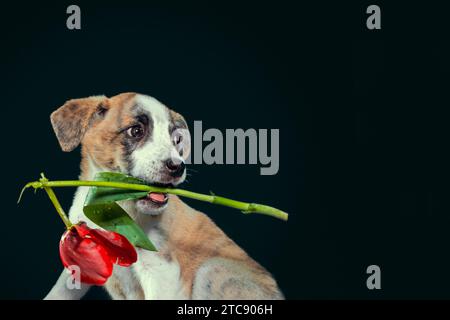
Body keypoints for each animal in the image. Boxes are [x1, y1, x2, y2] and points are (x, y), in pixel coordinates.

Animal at [44, 92, 284, 300]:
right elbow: (58, 292)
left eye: (176, 139)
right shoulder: (81, 260)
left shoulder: (161, 270)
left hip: (210, 270)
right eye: (136, 131)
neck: (109, 207)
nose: (177, 167)